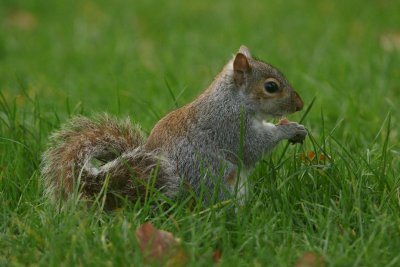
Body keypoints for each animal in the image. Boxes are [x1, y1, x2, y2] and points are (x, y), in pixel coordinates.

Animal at [41, 46, 306, 209]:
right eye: (271, 87)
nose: (300, 105)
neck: (231, 99)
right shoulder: (229, 125)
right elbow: (252, 146)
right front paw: (288, 129)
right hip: (214, 180)